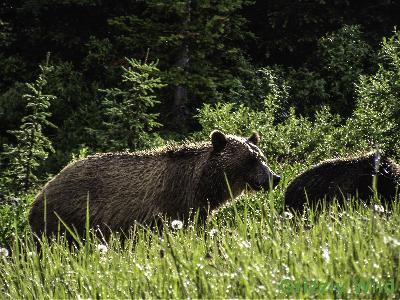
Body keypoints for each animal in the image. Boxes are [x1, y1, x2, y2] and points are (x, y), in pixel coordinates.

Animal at [29, 130, 282, 238]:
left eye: (262, 157)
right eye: (249, 160)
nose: (274, 178)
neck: (201, 187)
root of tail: (41, 192)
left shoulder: (198, 209)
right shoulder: (171, 205)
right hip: (65, 218)